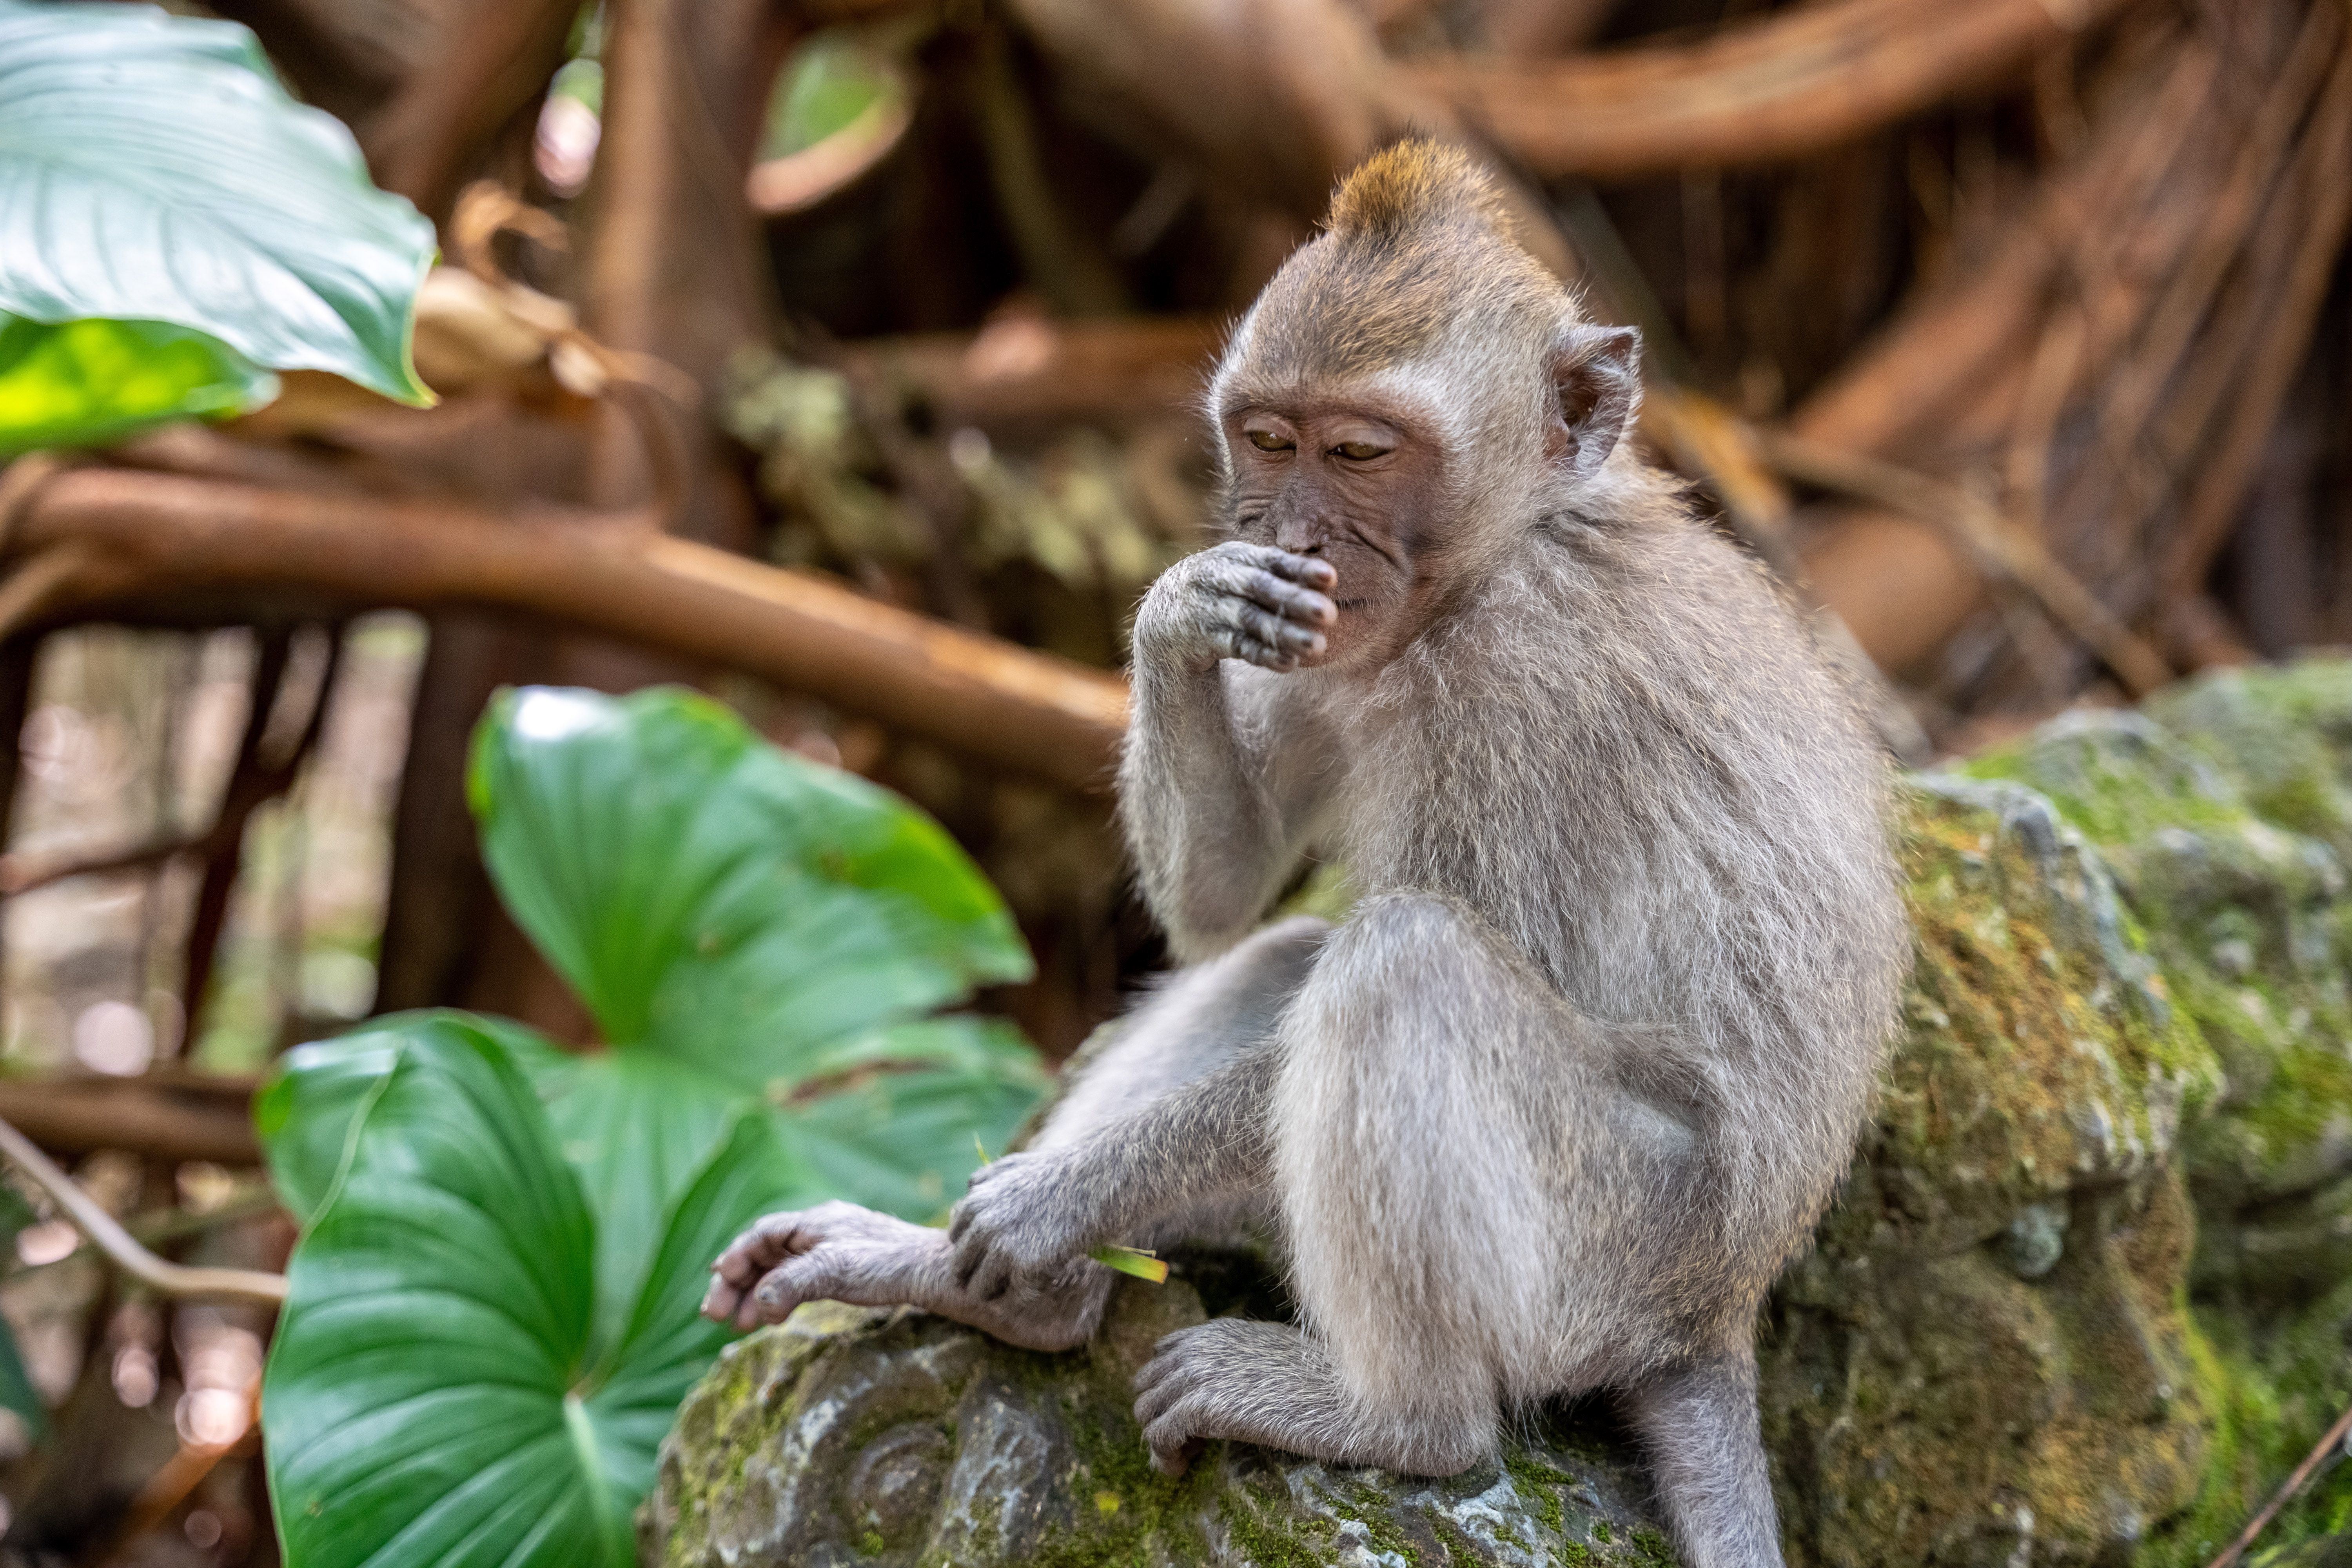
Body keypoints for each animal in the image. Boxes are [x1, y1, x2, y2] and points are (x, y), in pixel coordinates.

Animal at [705, 137, 1907, 1568]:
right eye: (1270, 440)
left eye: (1364, 450)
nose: (1292, 534)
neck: (1500, 557)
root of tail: (1723, 1310)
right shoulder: (1324, 636)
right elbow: (1223, 905)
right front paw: (1180, 610)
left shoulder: (1522, 683)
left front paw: (1050, 1203)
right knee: (1287, 955)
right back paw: (998, 1298)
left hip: (1617, 1249)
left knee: (1405, 961)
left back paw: (1402, 1420)